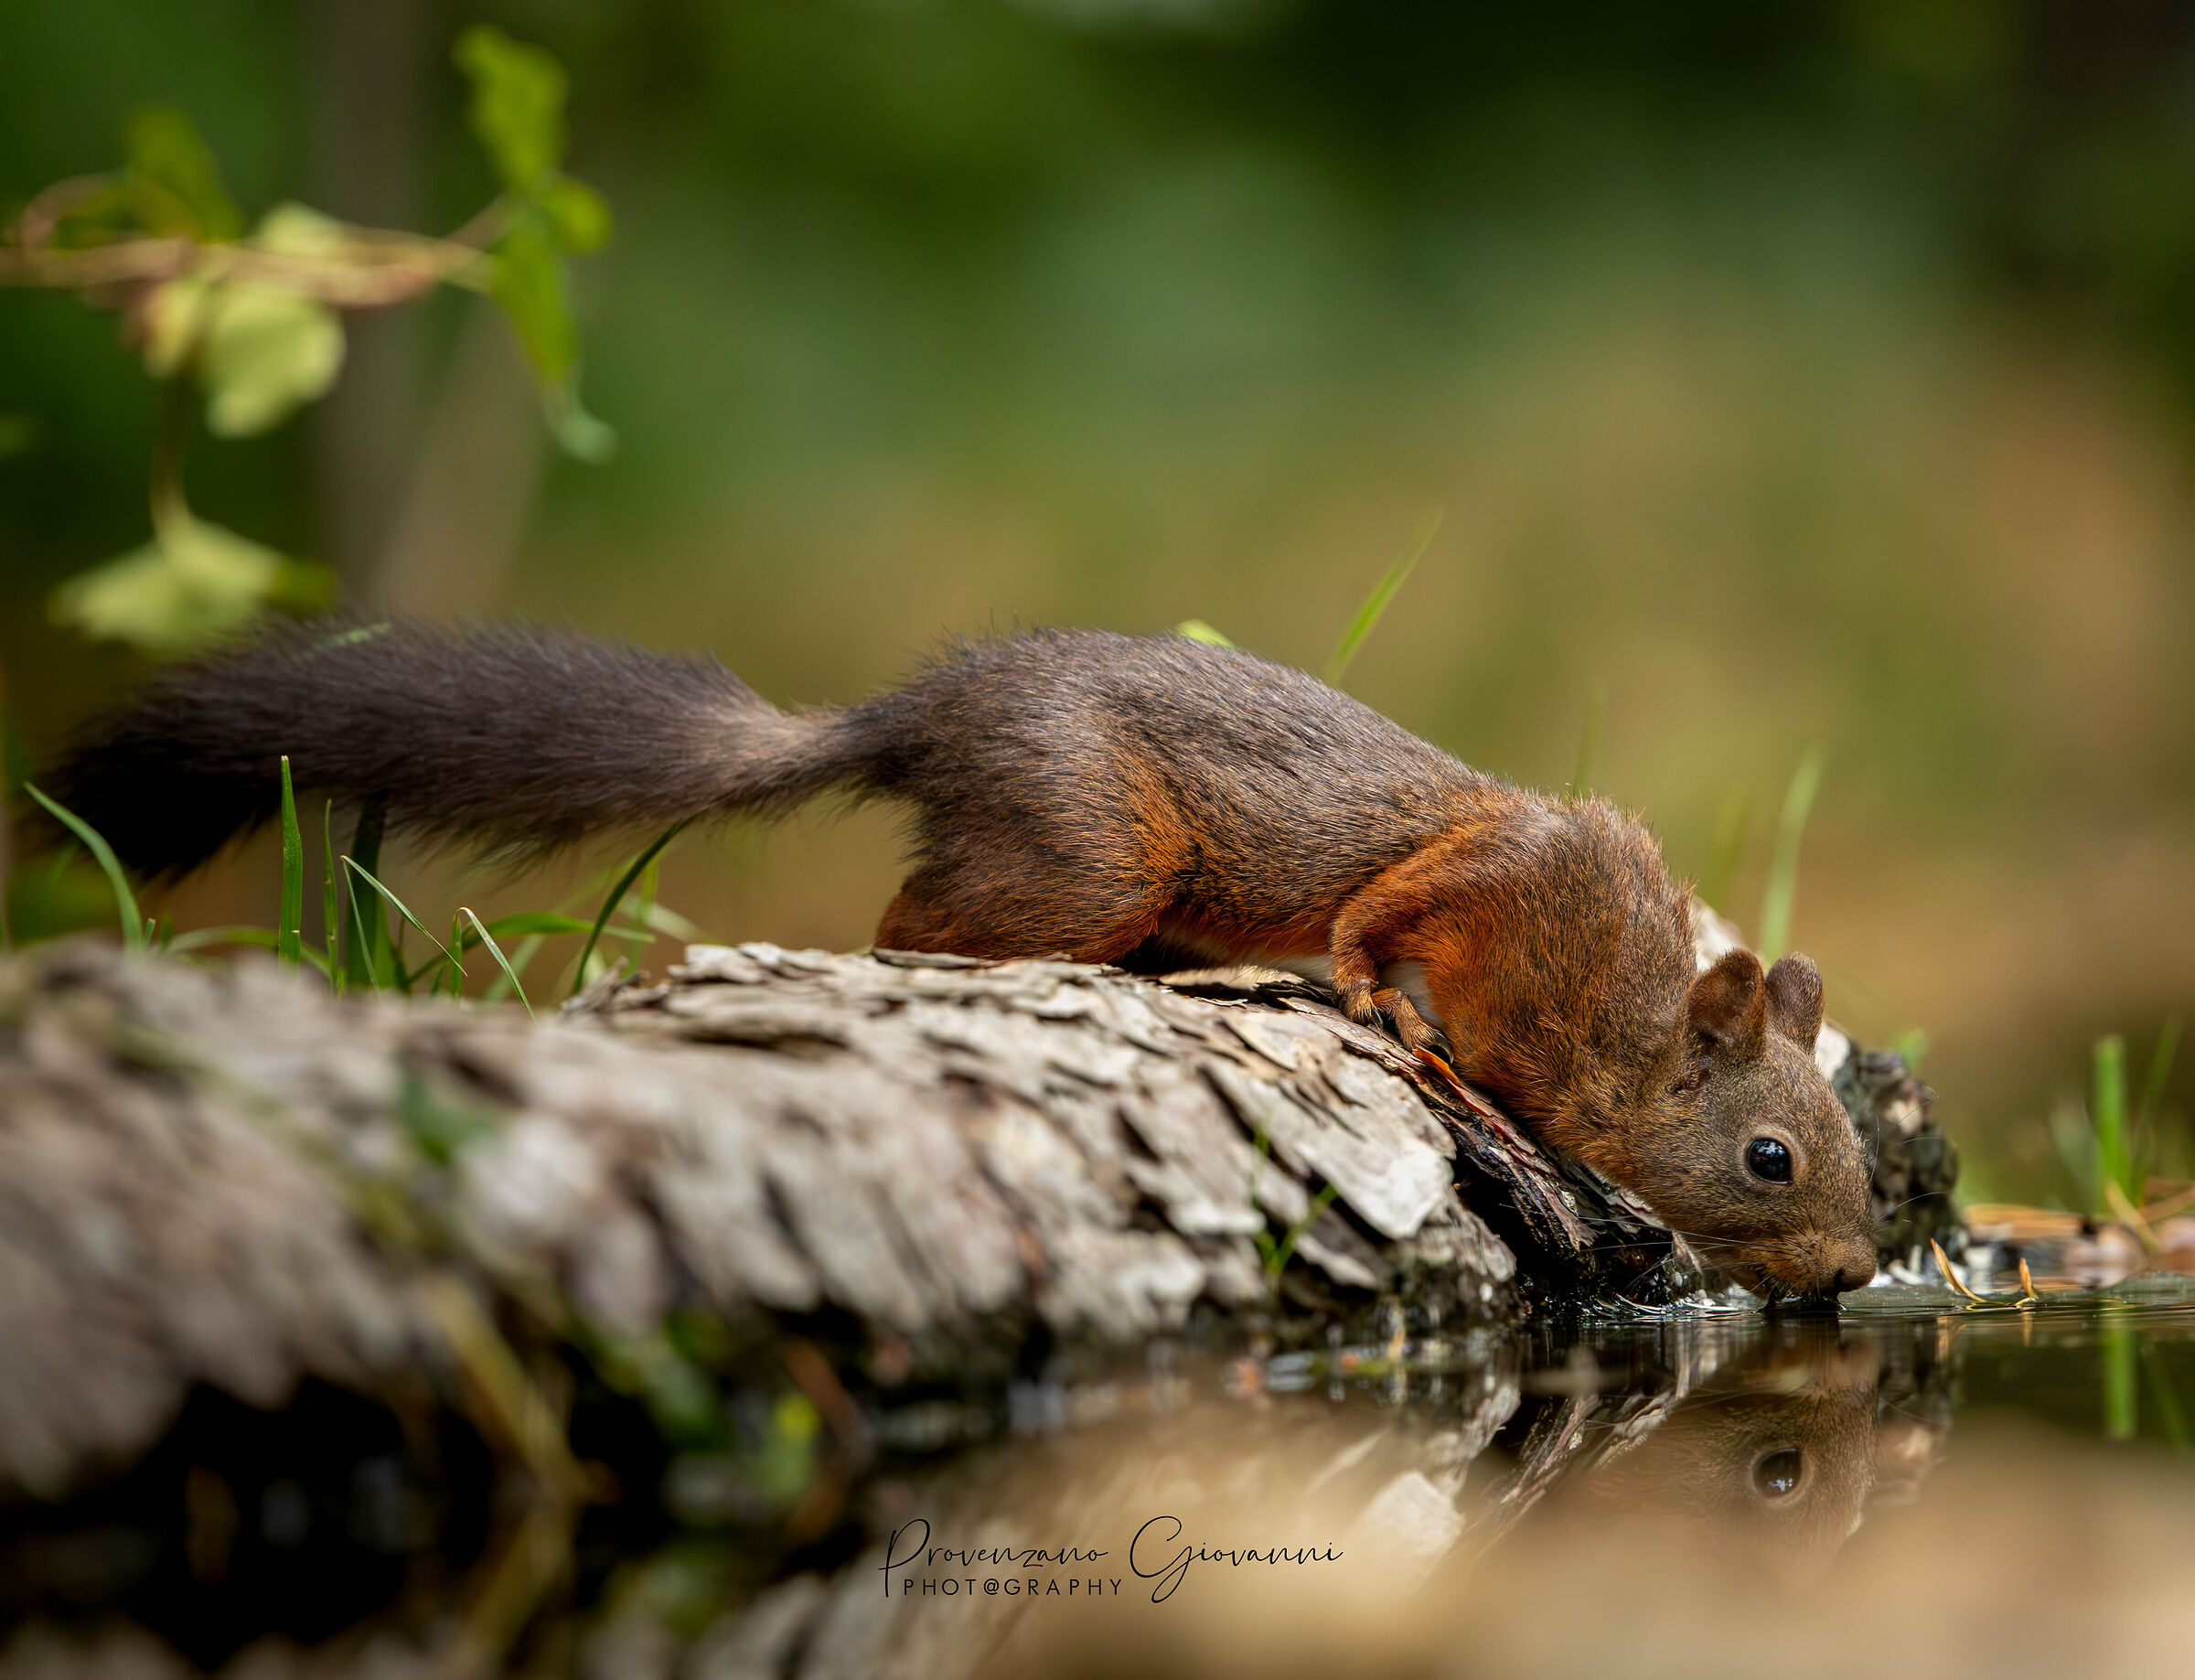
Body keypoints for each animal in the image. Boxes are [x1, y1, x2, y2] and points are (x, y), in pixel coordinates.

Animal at [43, 619, 1876, 1301]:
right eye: (1771, 1157)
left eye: (1854, 1153)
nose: (1860, 1274)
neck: (1614, 1014)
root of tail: (923, 716)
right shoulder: (1507, 879)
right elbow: (1393, 905)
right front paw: (1370, 991)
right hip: (1090, 849)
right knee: (909, 928)